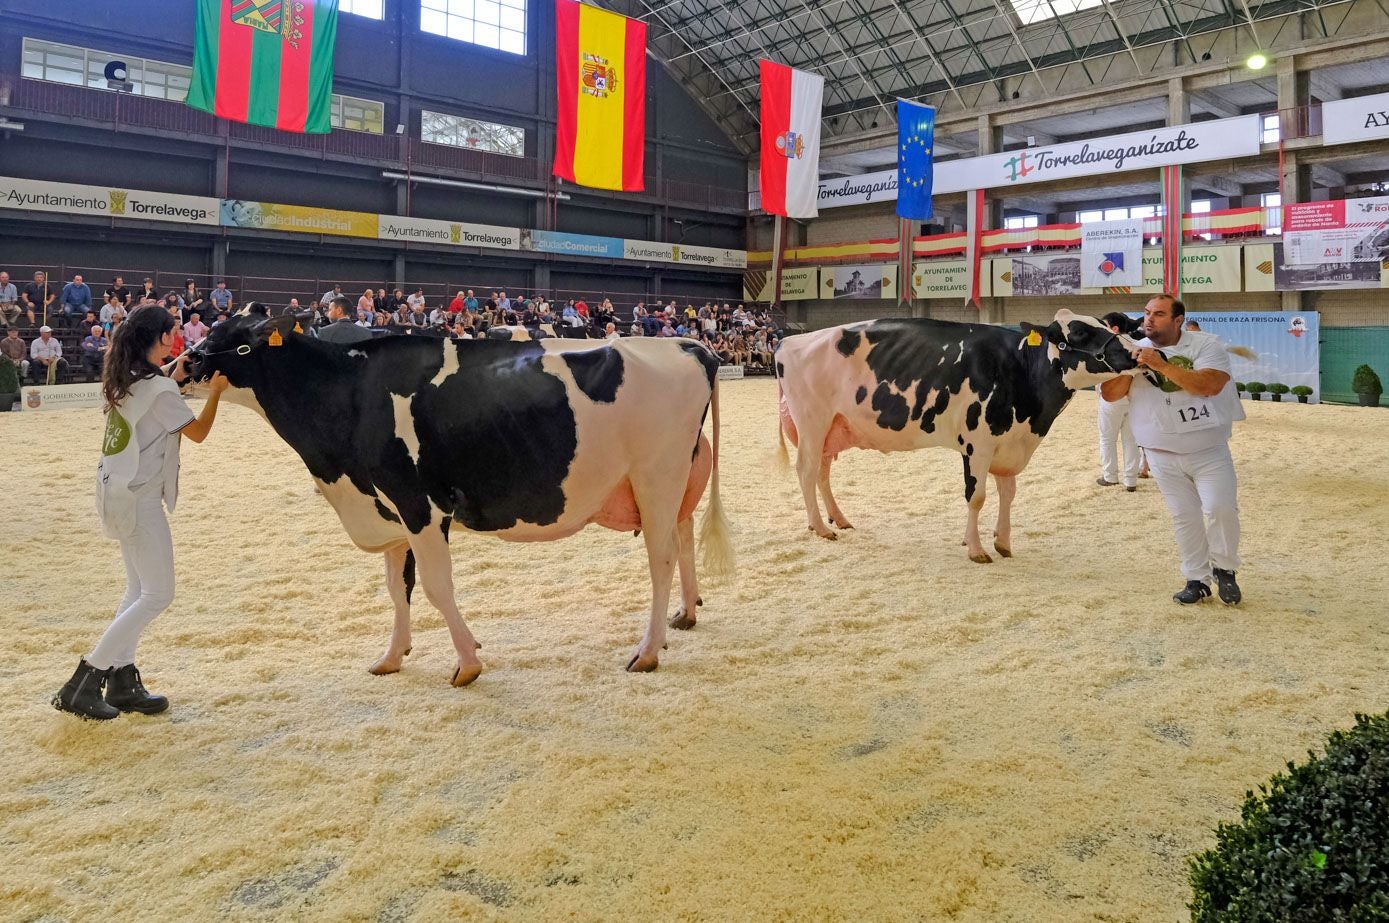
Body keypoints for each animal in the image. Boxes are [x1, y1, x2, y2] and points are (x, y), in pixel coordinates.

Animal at [195, 305, 738, 680]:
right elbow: (397, 588)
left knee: (661, 559)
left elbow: (437, 587)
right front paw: (392, 657)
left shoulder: (419, 504)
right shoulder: (389, 513)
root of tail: (691, 346)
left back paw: (646, 651)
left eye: (232, 340)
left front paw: (467, 663)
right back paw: (685, 615)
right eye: (214, 330)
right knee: (683, 540)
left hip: (656, 477)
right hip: (675, 481)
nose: (186, 363)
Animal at [777, 308, 1133, 560]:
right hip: (812, 421)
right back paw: (821, 528)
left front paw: (1003, 543)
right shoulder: (978, 443)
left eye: (1104, 323)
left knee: (822, 472)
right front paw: (976, 550)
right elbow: (976, 496)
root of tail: (790, 340)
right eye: (1080, 331)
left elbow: (1008, 494)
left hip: (832, 427)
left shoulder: (1008, 443)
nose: (1133, 352)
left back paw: (838, 519)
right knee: (806, 470)